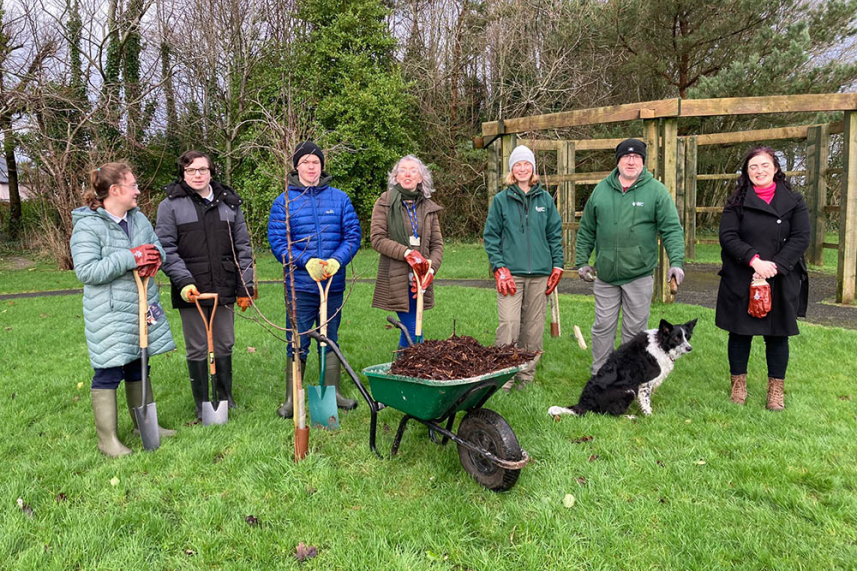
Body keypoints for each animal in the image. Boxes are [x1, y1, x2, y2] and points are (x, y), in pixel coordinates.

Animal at [548, 320, 696, 418]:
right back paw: (629, 417)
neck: (661, 344)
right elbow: (646, 401)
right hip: (628, 390)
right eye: (676, 337)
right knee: (611, 413)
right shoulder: (645, 382)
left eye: (687, 337)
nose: (689, 348)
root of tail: (584, 404)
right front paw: (648, 415)